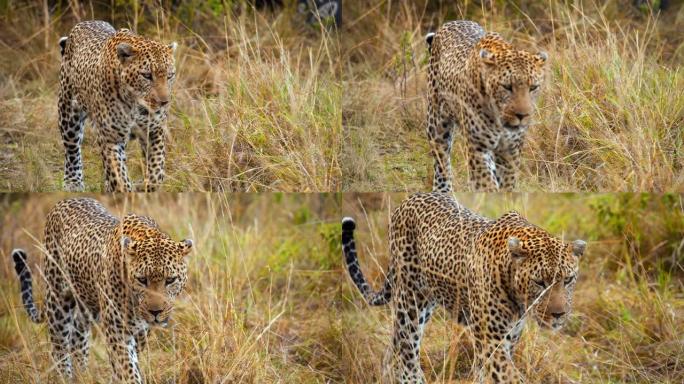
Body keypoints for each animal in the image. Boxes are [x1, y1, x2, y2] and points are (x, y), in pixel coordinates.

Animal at [11, 196, 192, 382]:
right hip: (57, 300)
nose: (156, 312)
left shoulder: (141, 331)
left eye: (170, 280)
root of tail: (66, 200)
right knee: (59, 347)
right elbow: (128, 369)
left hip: (88, 305)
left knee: (77, 334)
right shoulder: (117, 330)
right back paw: (66, 378)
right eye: (142, 280)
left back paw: (82, 375)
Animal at [57, 21, 178, 192]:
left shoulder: (154, 131)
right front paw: (127, 191)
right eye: (147, 76)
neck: (135, 105)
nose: (164, 102)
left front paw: (147, 186)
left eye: (170, 75)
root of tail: (84, 23)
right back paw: (73, 182)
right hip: (68, 112)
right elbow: (118, 175)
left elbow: (157, 168)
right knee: (72, 149)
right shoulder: (110, 138)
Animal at [340, 194, 584, 382]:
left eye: (568, 279)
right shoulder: (490, 340)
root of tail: (407, 200)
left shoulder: (508, 339)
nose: (559, 314)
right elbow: (510, 376)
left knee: (395, 344)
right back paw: (413, 379)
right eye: (539, 282)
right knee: (408, 349)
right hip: (410, 302)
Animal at [424, 21, 548, 192]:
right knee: (441, 162)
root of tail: (450, 23)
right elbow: (486, 184)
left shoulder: (511, 150)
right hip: (437, 124)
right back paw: (443, 190)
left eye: (533, 87)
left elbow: (507, 184)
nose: (522, 116)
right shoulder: (478, 147)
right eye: (507, 87)